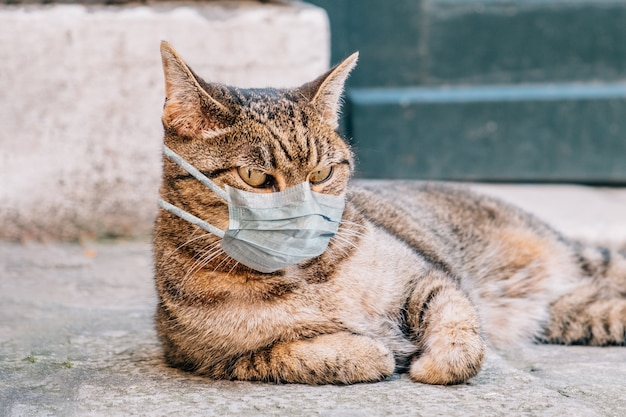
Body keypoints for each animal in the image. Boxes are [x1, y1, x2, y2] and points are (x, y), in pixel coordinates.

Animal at [152, 41, 624, 384]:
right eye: (254, 177)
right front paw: (374, 349)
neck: (306, 276)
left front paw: (435, 363)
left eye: (322, 173)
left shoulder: (429, 277)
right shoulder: (207, 357)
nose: (306, 219)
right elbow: (306, 354)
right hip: (577, 311)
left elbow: (461, 330)